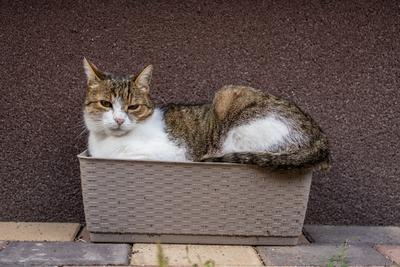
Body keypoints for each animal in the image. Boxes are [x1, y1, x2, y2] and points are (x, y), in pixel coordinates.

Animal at [83, 59, 330, 172]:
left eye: (133, 107)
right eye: (105, 104)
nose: (119, 119)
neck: (108, 143)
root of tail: (321, 138)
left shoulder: (173, 154)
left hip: (230, 103)